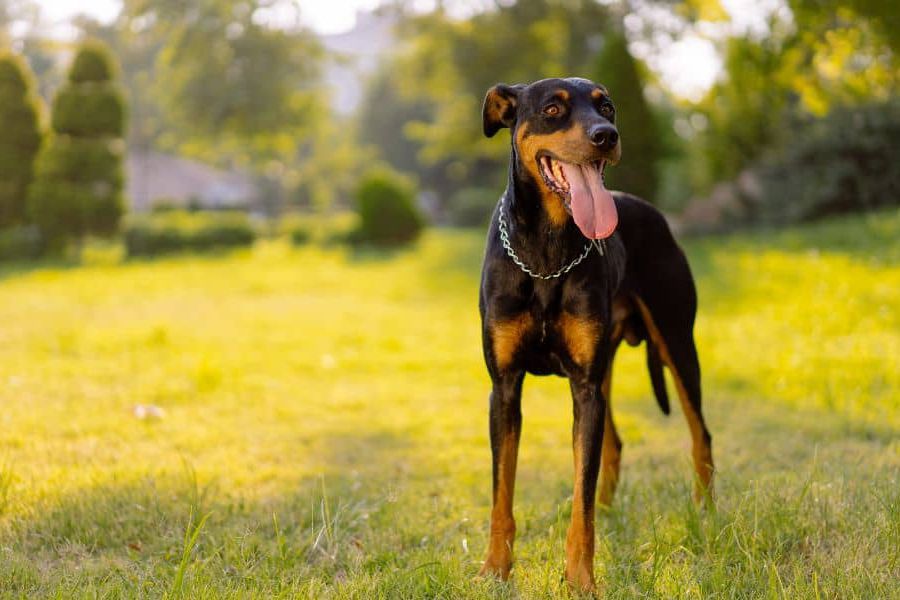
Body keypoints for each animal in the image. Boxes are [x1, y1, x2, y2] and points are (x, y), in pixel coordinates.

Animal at [478, 77, 716, 592]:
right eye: (552, 109)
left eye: (607, 107)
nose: (606, 135)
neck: (546, 250)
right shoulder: (504, 387)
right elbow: (502, 492)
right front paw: (495, 570)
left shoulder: (584, 387)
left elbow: (579, 497)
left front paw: (581, 579)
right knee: (614, 444)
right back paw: (610, 511)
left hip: (676, 342)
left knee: (700, 435)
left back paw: (705, 511)